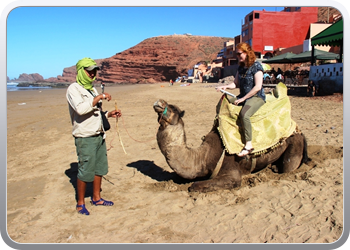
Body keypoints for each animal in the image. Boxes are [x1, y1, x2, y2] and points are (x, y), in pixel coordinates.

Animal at [153, 98, 308, 192]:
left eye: (173, 108)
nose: (159, 102)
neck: (203, 157)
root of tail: (298, 130)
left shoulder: (230, 169)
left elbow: (194, 185)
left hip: (294, 145)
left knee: (288, 167)